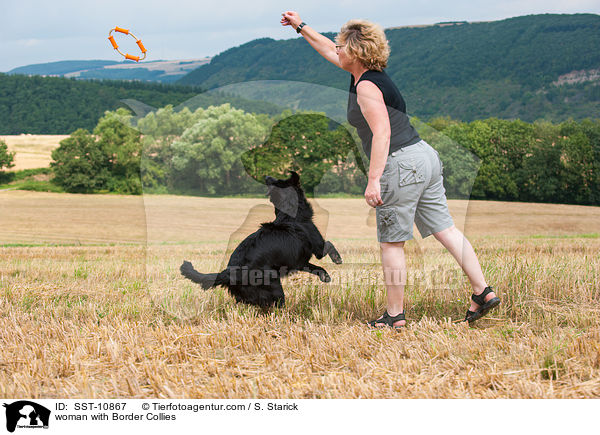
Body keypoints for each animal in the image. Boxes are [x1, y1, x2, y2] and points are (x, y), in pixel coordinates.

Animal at [180, 172, 342, 308]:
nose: (267, 176)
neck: (288, 215)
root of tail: (229, 272)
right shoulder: (317, 247)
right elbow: (328, 245)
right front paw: (337, 258)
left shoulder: (300, 262)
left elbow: (316, 268)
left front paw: (325, 276)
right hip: (274, 286)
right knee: (275, 305)